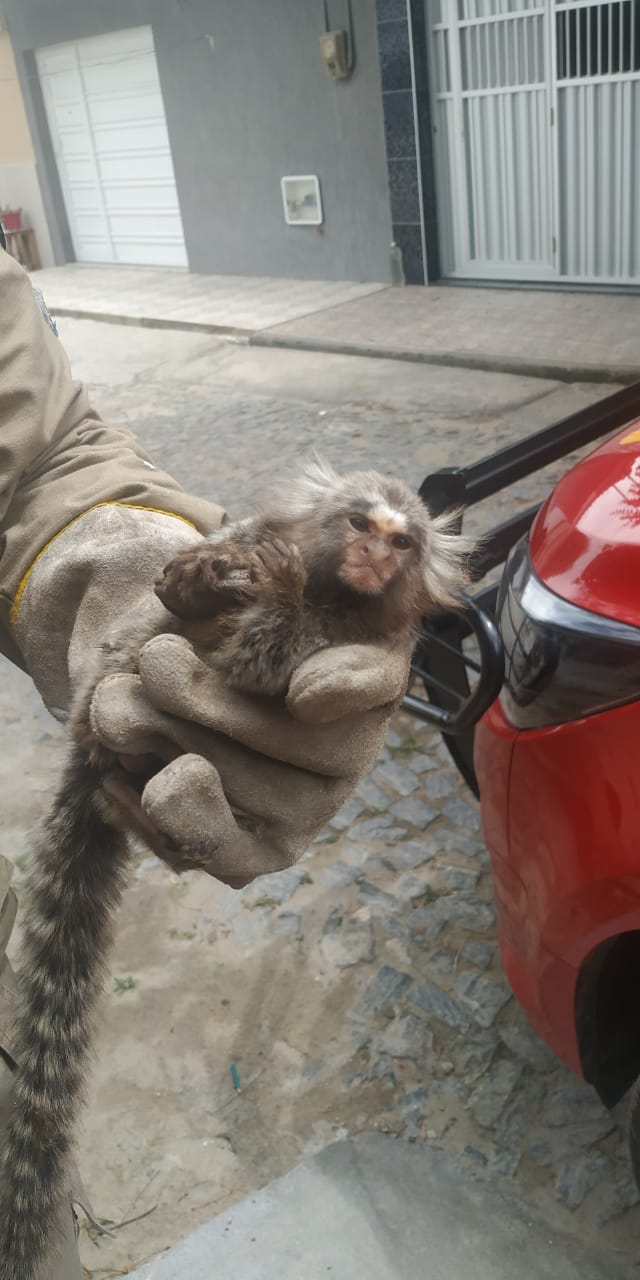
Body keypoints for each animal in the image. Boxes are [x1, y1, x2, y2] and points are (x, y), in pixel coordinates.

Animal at [0, 463, 471, 1280]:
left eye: (401, 544)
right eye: (360, 526)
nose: (372, 557)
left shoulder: (337, 643)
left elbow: (261, 663)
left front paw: (274, 591)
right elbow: (183, 582)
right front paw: (211, 574)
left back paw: (131, 803)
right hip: (103, 699)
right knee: (130, 663)